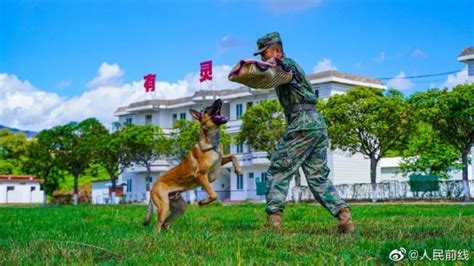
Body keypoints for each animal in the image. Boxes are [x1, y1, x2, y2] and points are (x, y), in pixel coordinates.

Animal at [143, 98, 241, 232]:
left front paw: (238, 169)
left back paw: (171, 234)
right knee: (157, 226)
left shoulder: (220, 161)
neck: (212, 143)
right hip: (164, 206)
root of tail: (153, 186)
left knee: (165, 224)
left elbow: (233, 156)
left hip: (179, 207)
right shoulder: (201, 175)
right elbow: (214, 194)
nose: (219, 99)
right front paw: (202, 202)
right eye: (207, 108)